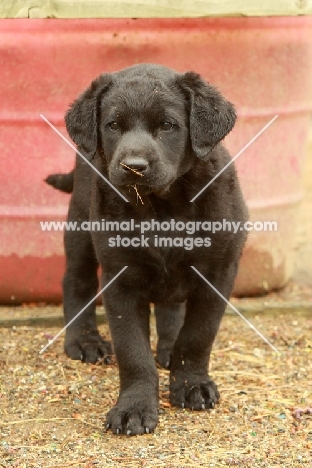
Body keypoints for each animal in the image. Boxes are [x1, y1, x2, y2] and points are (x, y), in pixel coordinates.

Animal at [45, 62, 247, 436]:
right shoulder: (120, 280)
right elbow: (133, 352)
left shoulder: (218, 273)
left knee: (171, 308)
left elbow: (198, 335)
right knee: (76, 282)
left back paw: (166, 347)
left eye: (167, 125)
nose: (133, 166)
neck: (162, 207)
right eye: (113, 125)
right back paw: (84, 341)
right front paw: (134, 408)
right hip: (79, 225)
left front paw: (191, 385)